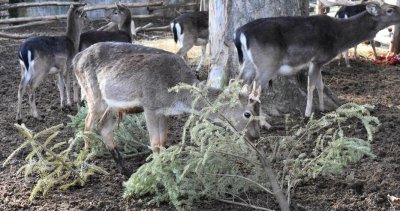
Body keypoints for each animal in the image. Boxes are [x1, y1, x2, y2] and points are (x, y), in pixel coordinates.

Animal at [72, 42, 262, 176]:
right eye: (247, 114)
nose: (255, 136)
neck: (176, 95)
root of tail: (76, 58)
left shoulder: (164, 112)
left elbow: (163, 141)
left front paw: (166, 166)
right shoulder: (149, 105)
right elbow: (154, 143)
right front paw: (157, 172)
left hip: (113, 105)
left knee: (103, 126)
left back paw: (125, 170)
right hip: (93, 96)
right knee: (87, 126)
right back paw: (86, 162)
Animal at [234, 2, 400, 117]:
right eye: (390, 10)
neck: (340, 38)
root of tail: (240, 33)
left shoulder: (319, 62)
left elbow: (320, 85)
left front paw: (322, 108)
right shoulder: (318, 58)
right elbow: (311, 86)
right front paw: (308, 113)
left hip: (247, 63)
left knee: (238, 85)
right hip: (267, 63)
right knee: (254, 90)